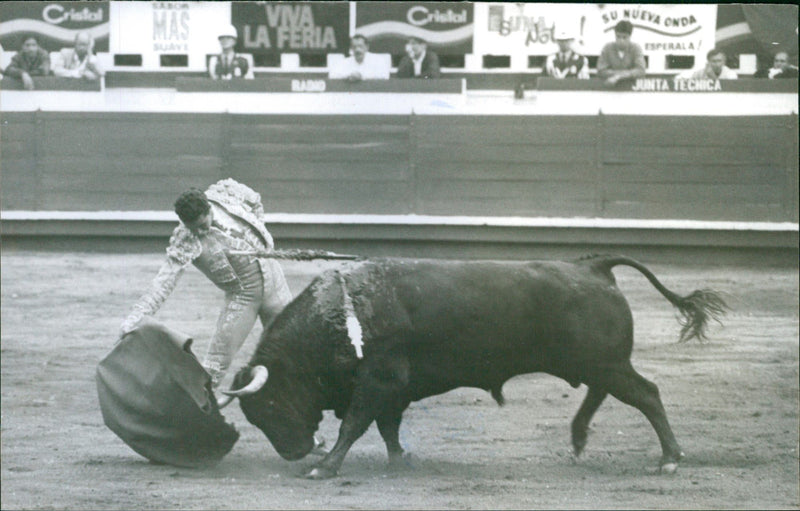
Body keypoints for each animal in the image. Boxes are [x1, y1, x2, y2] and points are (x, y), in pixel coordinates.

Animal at [223, 256, 724, 480]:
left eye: (269, 404)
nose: (294, 453)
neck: (342, 313)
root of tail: (595, 267)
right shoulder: (393, 389)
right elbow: (386, 425)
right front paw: (400, 458)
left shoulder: (379, 380)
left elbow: (355, 423)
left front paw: (326, 467)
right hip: (599, 364)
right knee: (605, 394)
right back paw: (580, 438)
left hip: (608, 363)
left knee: (647, 395)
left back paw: (669, 458)